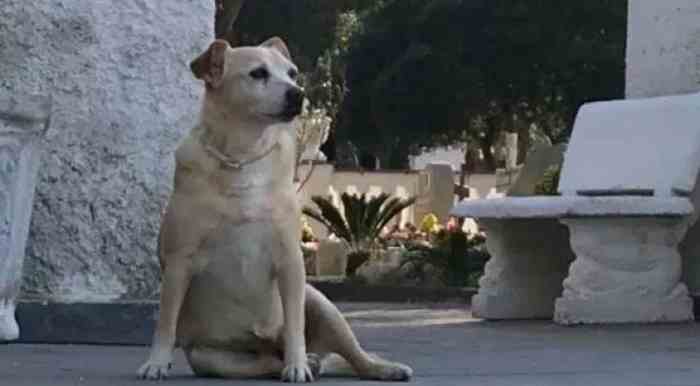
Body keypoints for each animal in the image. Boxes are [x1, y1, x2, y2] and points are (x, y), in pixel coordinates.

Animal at [137, 37, 412, 382]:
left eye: (292, 73)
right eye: (258, 73)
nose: (298, 93)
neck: (243, 154)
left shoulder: (290, 261)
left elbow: (295, 324)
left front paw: (297, 365)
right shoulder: (178, 263)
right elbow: (166, 321)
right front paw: (157, 362)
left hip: (321, 304)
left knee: (352, 353)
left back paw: (370, 366)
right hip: (212, 358)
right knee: (265, 363)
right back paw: (304, 361)